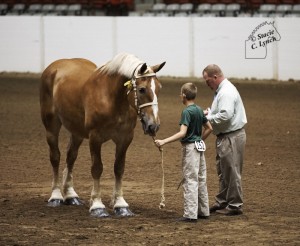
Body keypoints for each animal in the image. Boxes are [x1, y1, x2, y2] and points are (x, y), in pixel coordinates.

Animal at [39, 52, 166, 217]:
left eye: (159, 88)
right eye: (142, 89)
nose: (153, 125)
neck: (111, 98)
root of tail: (54, 67)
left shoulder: (125, 138)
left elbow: (119, 168)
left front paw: (121, 205)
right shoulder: (95, 138)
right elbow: (97, 168)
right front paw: (97, 206)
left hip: (77, 131)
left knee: (71, 157)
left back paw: (71, 195)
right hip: (51, 126)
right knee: (55, 157)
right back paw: (55, 196)